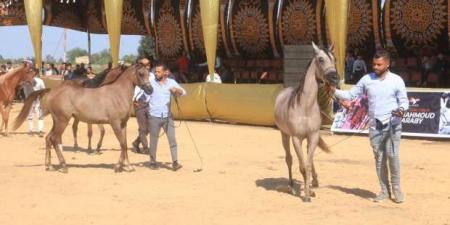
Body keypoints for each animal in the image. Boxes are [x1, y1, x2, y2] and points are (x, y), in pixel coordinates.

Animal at [12, 63, 153, 172]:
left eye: (148, 72)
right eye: (141, 73)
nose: (150, 90)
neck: (118, 94)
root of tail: (52, 91)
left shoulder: (123, 124)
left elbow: (124, 143)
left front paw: (128, 166)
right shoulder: (115, 123)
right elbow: (122, 144)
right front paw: (118, 167)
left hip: (57, 121)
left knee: (48, 138)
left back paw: (49, 166)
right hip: (63, 121)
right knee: (54, 139)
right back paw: (63, 166)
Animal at [272, 42, 340, 202]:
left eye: (334, 59)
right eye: (320, 59)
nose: (335, 78)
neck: (305, 107)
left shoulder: (313, 136)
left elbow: (308, 165)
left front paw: (310, 191)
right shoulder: (296, 138)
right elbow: (302, 166)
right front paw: (306, 195)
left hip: (307, 139)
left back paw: (312, 182)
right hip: (285, 135)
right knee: (289, 159)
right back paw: (291, 186)